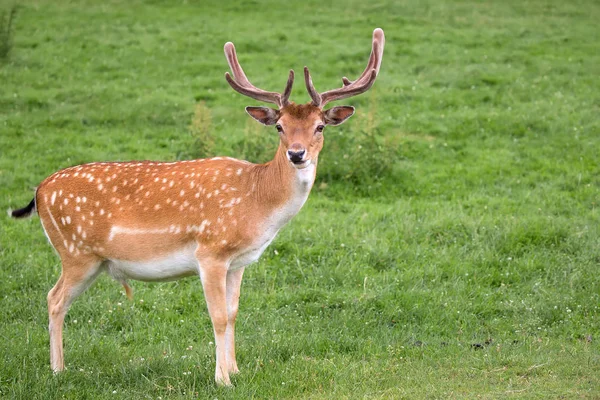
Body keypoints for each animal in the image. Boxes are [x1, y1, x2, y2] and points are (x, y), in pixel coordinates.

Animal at [11, 27, 386, 384]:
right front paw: (222, 380)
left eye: (320, 126)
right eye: (279, 126)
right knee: (54, 298)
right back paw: (58, 371)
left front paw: (236, 370)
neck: (257, 203)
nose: (297, 154)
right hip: (76, 253)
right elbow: (217, 317)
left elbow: (233, 314)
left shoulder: (239, 261)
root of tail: (39, 191)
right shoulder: (211, 251)